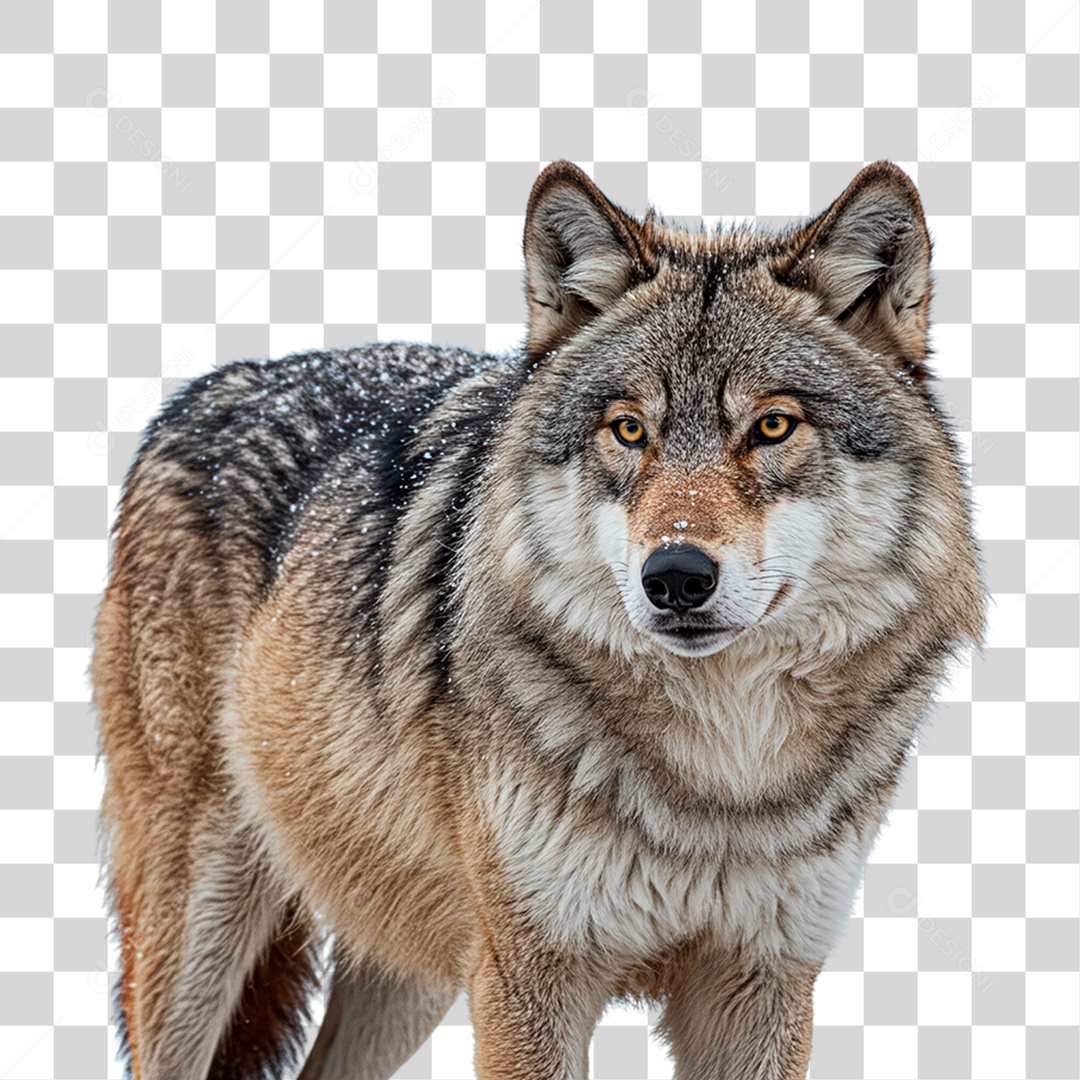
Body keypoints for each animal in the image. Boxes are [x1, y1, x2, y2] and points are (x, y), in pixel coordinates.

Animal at [92, 159, 984, 1079]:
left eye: (772, 426)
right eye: (628, 429)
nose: (675, 577)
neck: (720, 779)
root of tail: (211, 384)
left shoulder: (759, 982)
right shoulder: (530, 980)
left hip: (416, 972)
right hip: (205, 921)